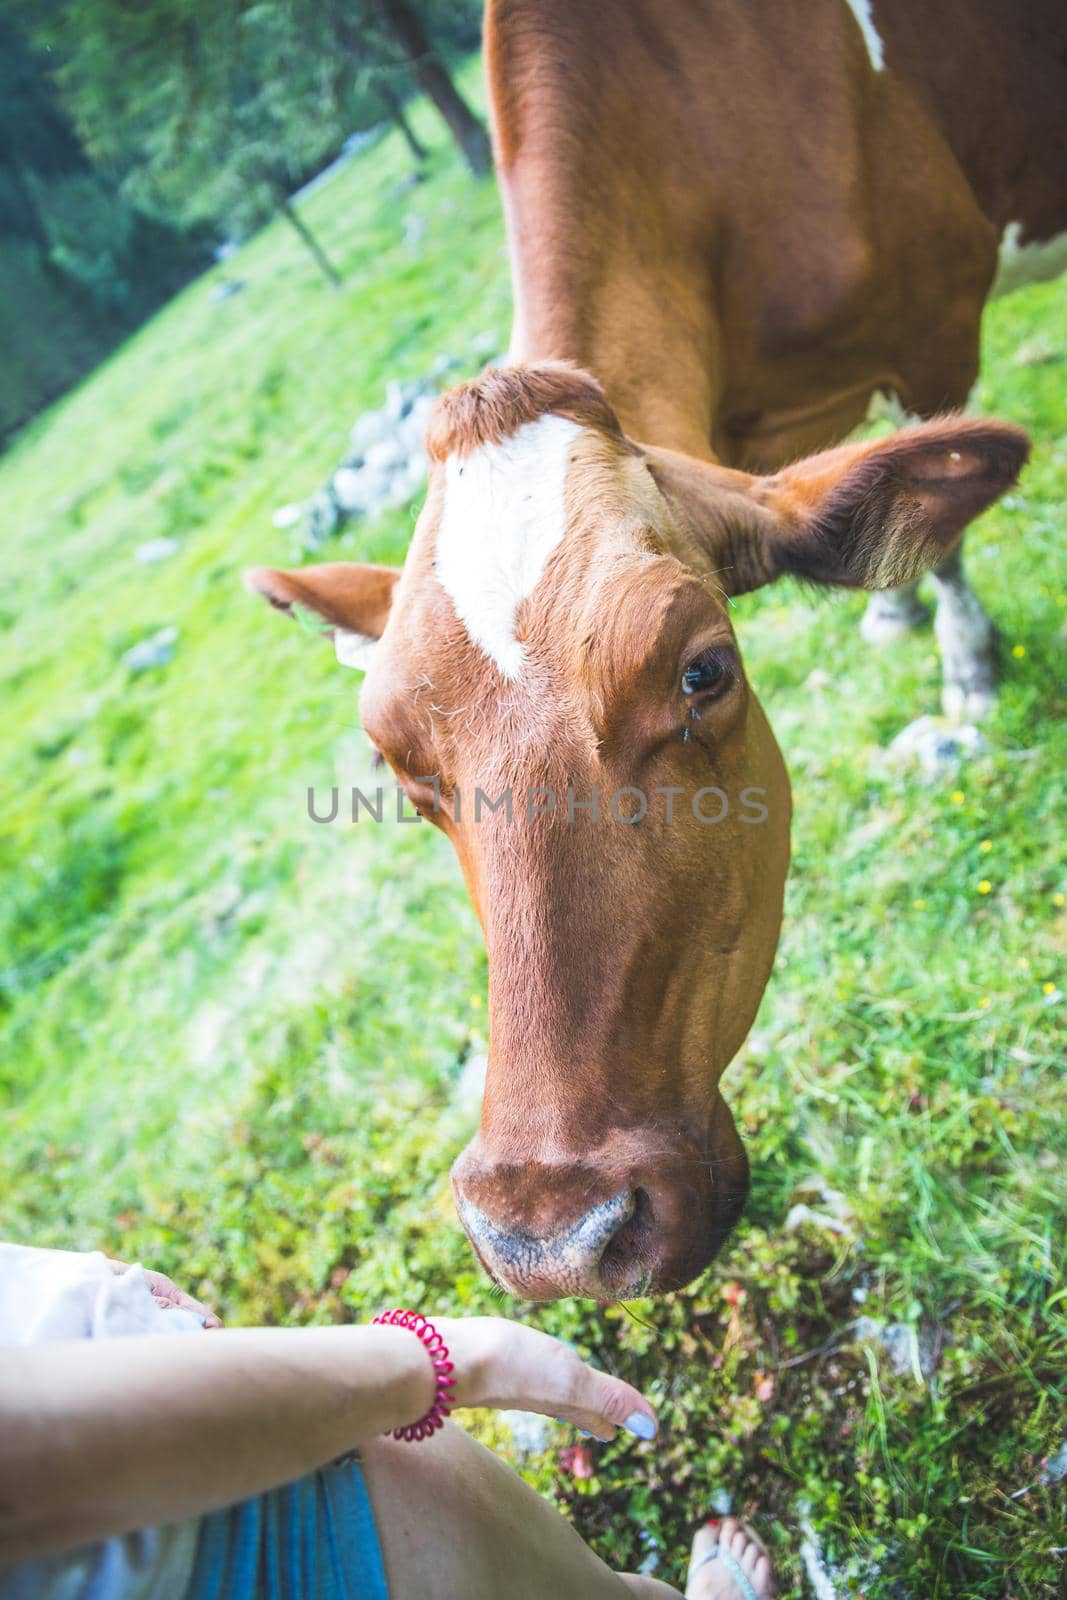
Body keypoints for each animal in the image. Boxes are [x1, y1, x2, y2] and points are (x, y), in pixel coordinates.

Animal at [246, 0, 1055, 1292]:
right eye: (399, 771)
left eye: (701, 671)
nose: (548, 1234)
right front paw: (889, 618)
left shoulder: (934, 320)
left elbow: (938, 541)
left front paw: (965, 666)